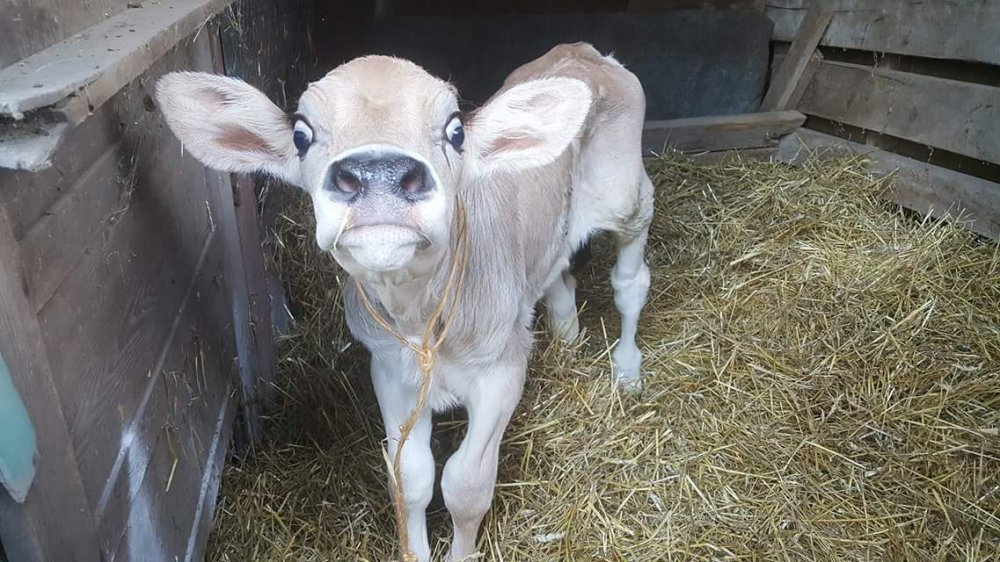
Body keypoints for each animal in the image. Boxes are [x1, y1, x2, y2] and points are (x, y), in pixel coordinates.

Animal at [157, 41, 652, 556]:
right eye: (301, 134)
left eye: (456, 130)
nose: (378, 173)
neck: (420, 319)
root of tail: (579, 50)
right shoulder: (390, 369)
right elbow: (410, 479)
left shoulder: (502, 371)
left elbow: (466, 485)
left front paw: (462, 553)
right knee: (558, 272)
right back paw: (569, 335)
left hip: (626, 195)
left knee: (630, 281)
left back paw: (627, 370)